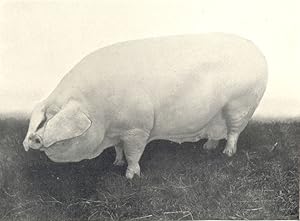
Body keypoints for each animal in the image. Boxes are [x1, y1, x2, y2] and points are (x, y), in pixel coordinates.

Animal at [23, 33, 268, 178]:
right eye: (46, 117)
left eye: (56, 115)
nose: (34, 138)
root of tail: (257, 50)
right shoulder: (119, 132)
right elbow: (119, 149)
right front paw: (116, 164)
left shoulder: (137, 128)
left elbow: (133, 153)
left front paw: (130, 176)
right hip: (217, 112)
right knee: (217, 131)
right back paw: (208, 148)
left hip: (239, 104)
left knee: (234, 131)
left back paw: (227, 154)